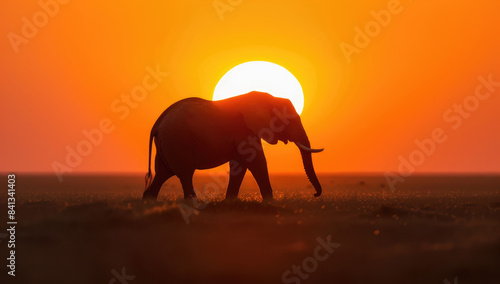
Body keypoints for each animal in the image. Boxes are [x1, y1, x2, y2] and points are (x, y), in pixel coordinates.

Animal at [143, 91, 326, 200]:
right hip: (177, 142)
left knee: (163, 173)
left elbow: (240, 165)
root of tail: (157, 124)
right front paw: (269, 202)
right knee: (185, 173)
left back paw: (148, 200)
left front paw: (229, 202)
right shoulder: (243, 130)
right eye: (291, 121)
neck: (268, 98)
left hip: (166, 145)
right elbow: (257, 161)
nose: (315, 194)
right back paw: (192, 203)